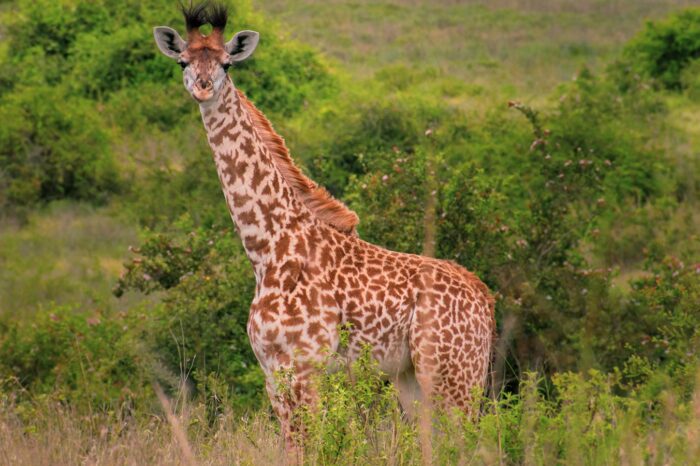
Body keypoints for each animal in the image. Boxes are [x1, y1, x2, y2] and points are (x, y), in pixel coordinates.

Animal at [154, 2, 495, 462]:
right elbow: (293, 447)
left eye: (226, 63)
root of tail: (486, 299)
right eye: (183, 61)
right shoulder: (273, 370)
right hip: (412, 377)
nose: (204, 88)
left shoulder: (305, 366)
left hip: (452, 372)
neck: (267, 246)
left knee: (471, 442)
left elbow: (311, 446)